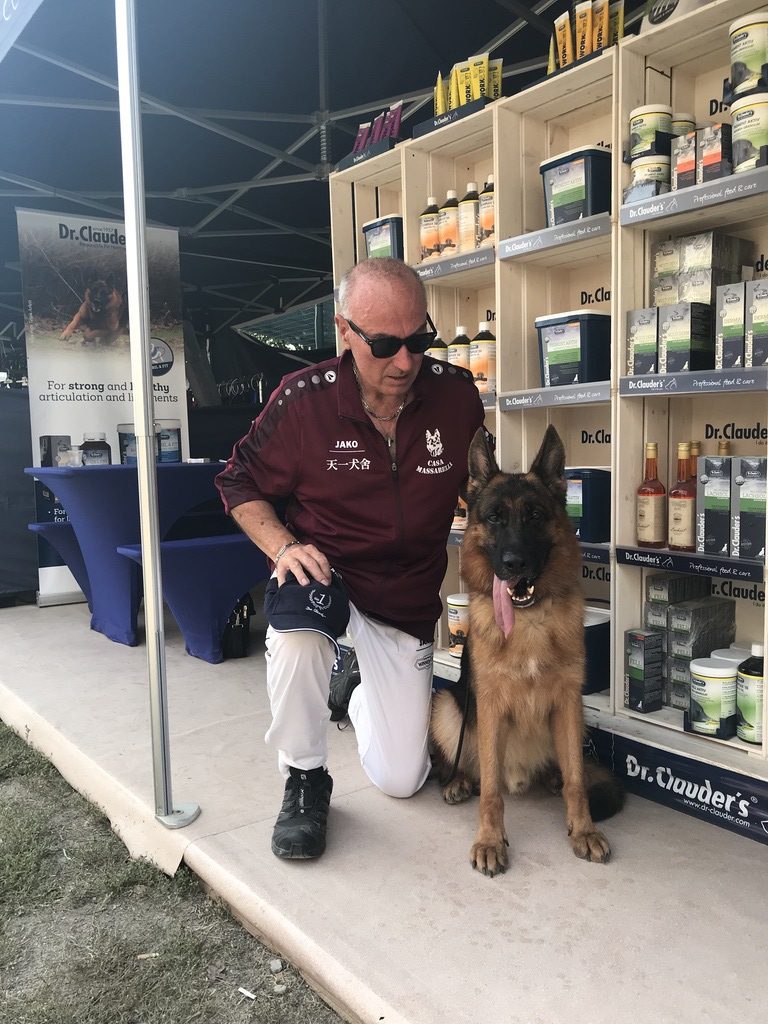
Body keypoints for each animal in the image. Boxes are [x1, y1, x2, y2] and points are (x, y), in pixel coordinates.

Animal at [430, 425, 623, 876]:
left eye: (535, 515)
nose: (514, 563)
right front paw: (489, 840)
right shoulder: (488, 705)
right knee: (468, 767)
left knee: (564, 769)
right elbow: (490, 793)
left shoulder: (569, 702)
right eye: (495, 517)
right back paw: (457, 781)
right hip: (447, 705)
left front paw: (583, 829)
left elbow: (577, 781)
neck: (529, 621)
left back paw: (552, 778)